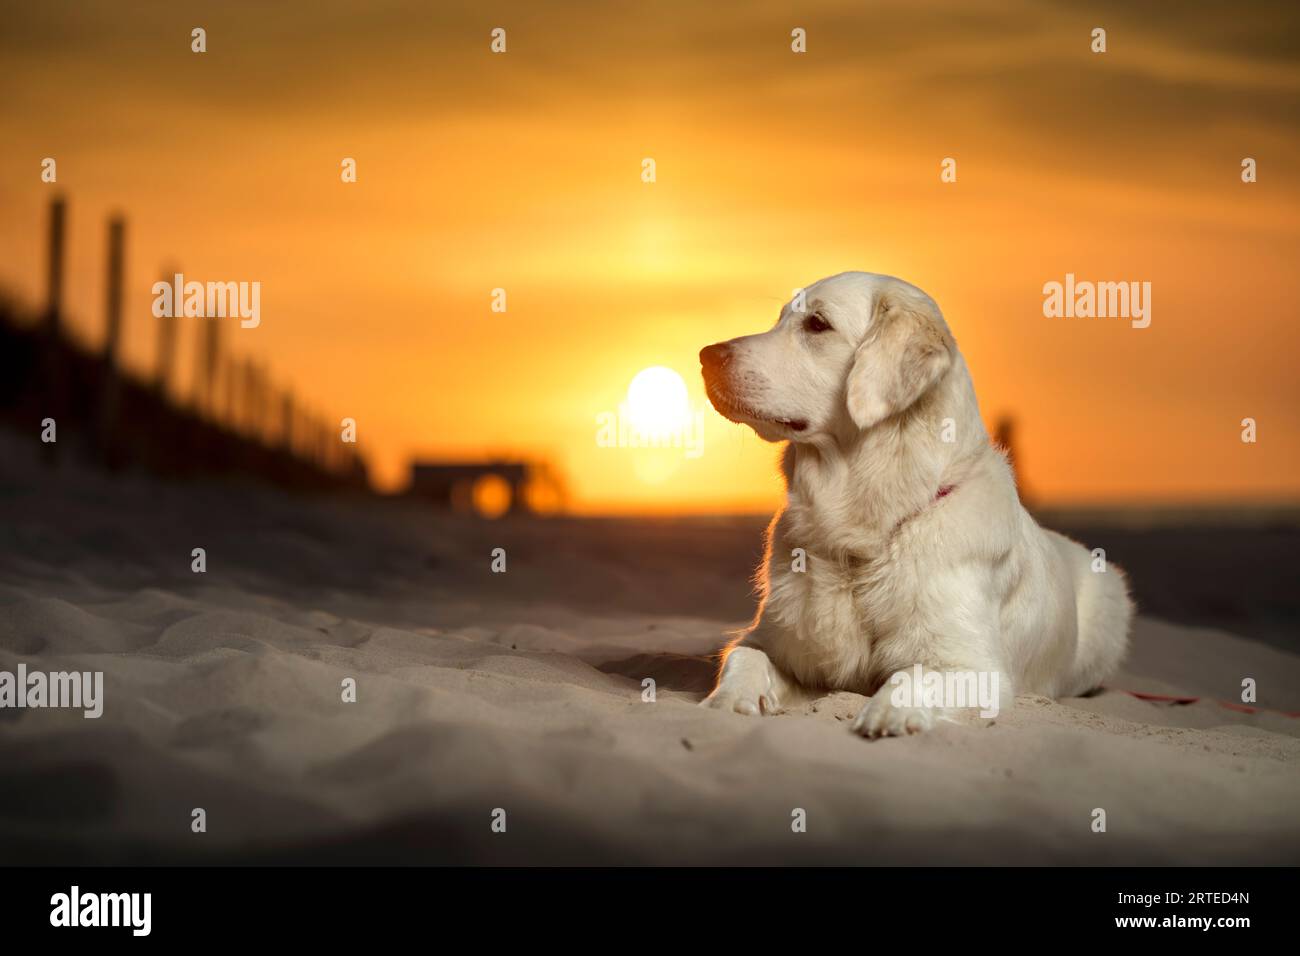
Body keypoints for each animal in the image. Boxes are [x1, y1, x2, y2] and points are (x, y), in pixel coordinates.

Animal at [696, 273, 1133, 738]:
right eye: (779, 319)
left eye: (817, 324)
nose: (706, 356)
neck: (863, 531)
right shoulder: (772, 639)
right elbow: (745, 657)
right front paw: (728, 701)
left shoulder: (974, 666)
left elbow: (910, 676)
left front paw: (890, 714)